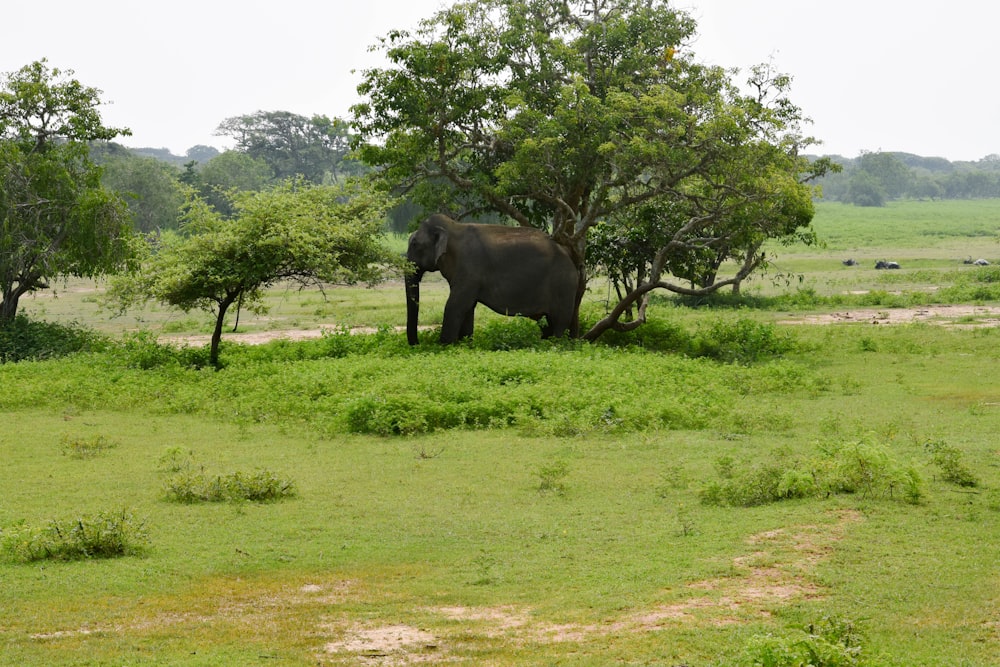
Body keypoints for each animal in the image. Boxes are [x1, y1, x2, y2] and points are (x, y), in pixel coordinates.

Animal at [404, 217, 580, 348]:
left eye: (415, 244)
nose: (417, 344)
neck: (453, 227)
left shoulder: (470, 269)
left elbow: (455, 306)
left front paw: (445, 346)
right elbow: (467, 307)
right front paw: (465, 345)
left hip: (563, 285)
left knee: (559, 322)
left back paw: (555, 344)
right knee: (546, 324)